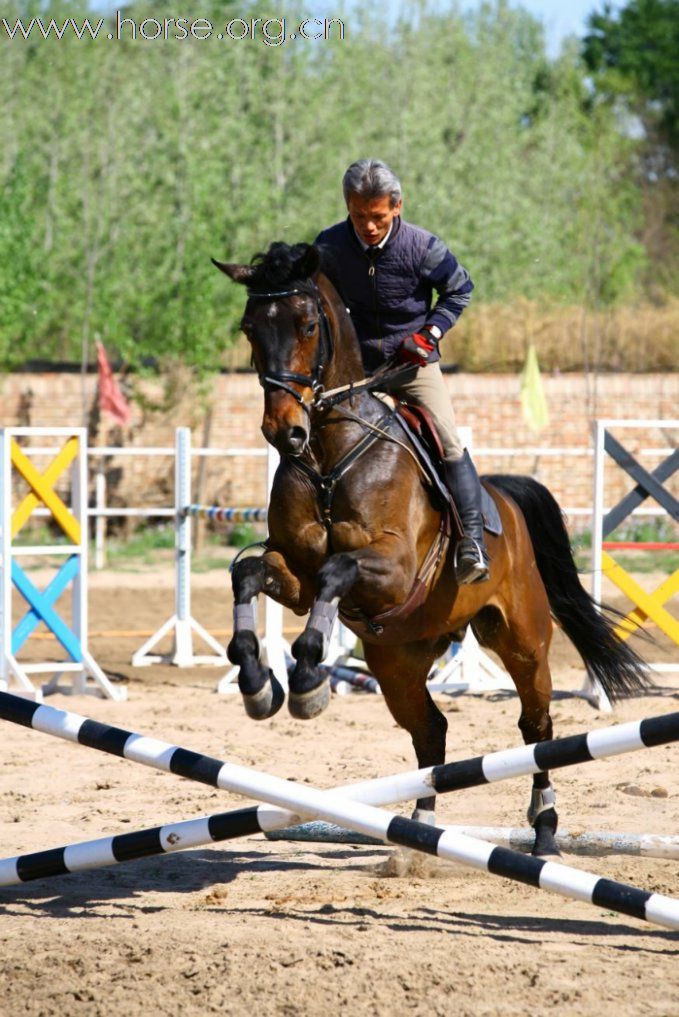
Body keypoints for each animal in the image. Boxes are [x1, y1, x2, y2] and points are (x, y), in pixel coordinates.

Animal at [214, 242, 650, 854]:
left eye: (306, 325)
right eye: (249, 328)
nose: (285, 432)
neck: (329, 456)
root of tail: (504, 497)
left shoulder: (393, 569)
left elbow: (336, 571)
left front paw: (307, 681)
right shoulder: (294, 574)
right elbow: (250, 574)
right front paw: (257, 683)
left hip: (522, 642)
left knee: (535, 728)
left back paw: (544, 828)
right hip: (398, 661)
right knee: (431, 731)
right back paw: (420, 829)